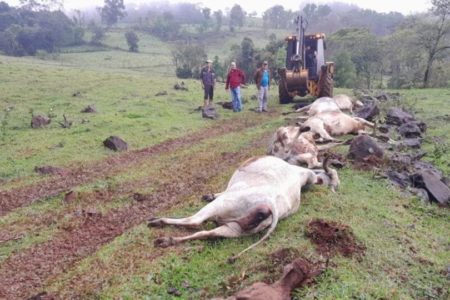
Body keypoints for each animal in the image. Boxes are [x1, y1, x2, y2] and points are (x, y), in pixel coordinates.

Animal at [149, 156, 340, 262]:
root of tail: (271, 204)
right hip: (234, 228)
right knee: (207, 233)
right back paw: (166, 240)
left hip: (222, 206)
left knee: (195, 222)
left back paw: (157, 222)